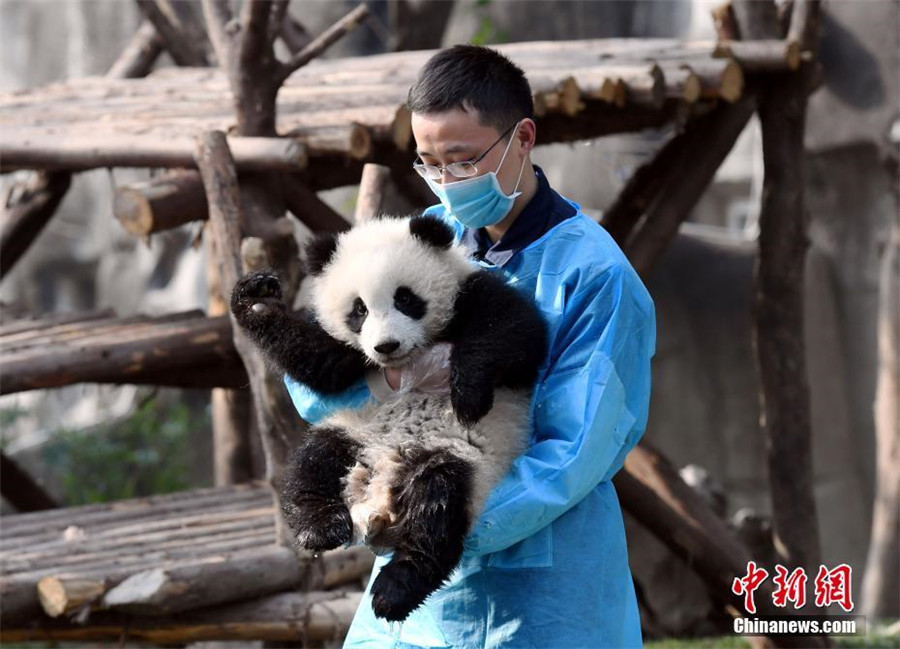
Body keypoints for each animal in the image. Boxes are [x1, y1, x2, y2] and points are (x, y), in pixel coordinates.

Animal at [230, 214, 548, 622]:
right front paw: (256, 299)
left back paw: (394, 590)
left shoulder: (473, 293)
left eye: (406, 298)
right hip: (357, 432)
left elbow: (516, 334)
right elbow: (320, 362)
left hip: (461, 458)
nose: (386, 346)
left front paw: (468, 395)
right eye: (359, 310)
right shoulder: (351, 356)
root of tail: (383, 482)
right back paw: (322, 528)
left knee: (437, 508)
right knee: (315, 460)